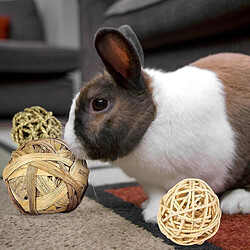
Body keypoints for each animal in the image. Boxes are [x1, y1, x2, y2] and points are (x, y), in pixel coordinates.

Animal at [65, 24, 250, 222]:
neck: (153, 118)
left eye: (99, 103)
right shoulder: (152, 182)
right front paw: (152, 212)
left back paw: (235, 203)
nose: (68, 140)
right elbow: (157, 195)